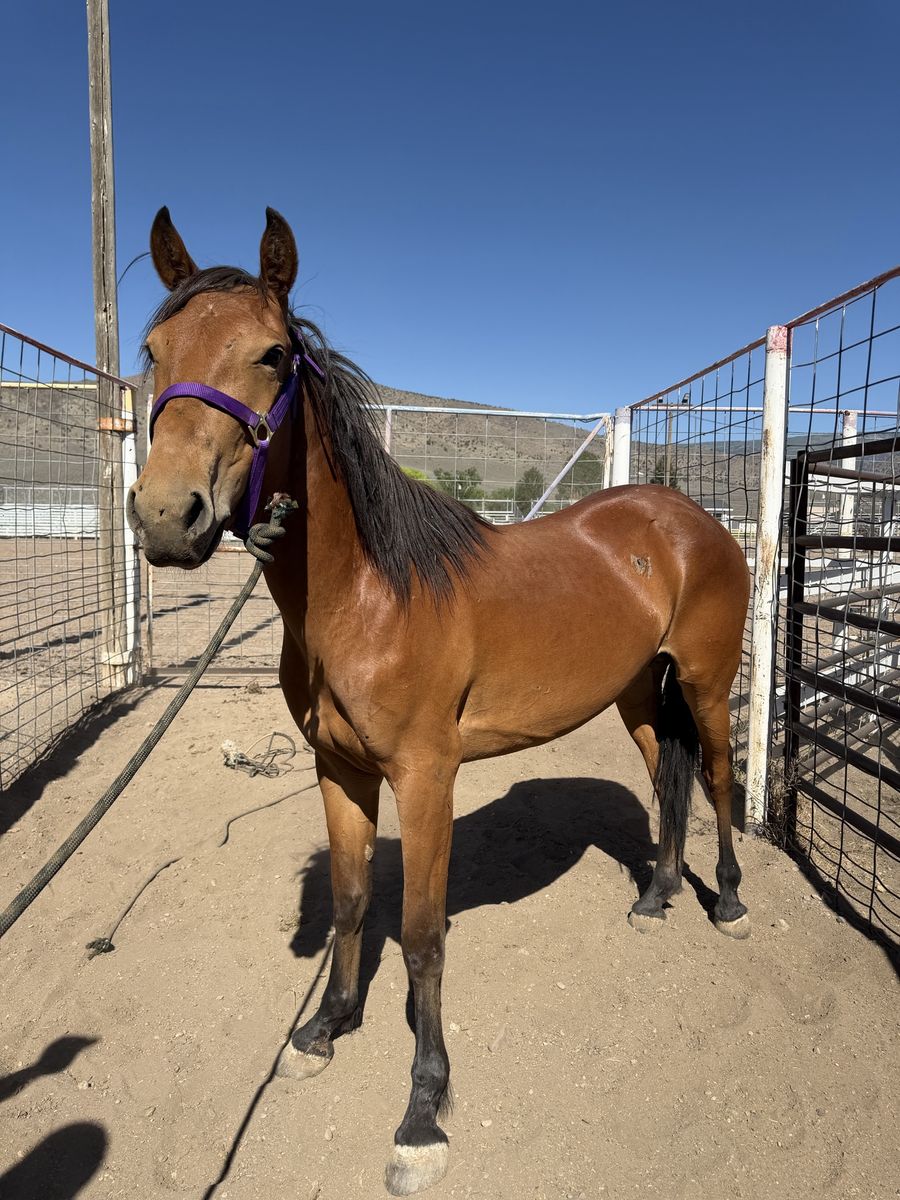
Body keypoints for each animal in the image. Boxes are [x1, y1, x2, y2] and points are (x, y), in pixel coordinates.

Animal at [128, 207, 751, 1196]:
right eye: (153, 351)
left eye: (272, 354)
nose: (164, 516)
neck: (368, 595)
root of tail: (688, 521)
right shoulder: (339, 770)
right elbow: (353, 901)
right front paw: (325, 1028)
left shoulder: (426, 778)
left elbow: (422, 935)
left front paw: (423, 1113)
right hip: (636, 698)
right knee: (669, 784)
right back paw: (655, 898)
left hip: (706, 682)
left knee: (722, 780)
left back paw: (725, 904)